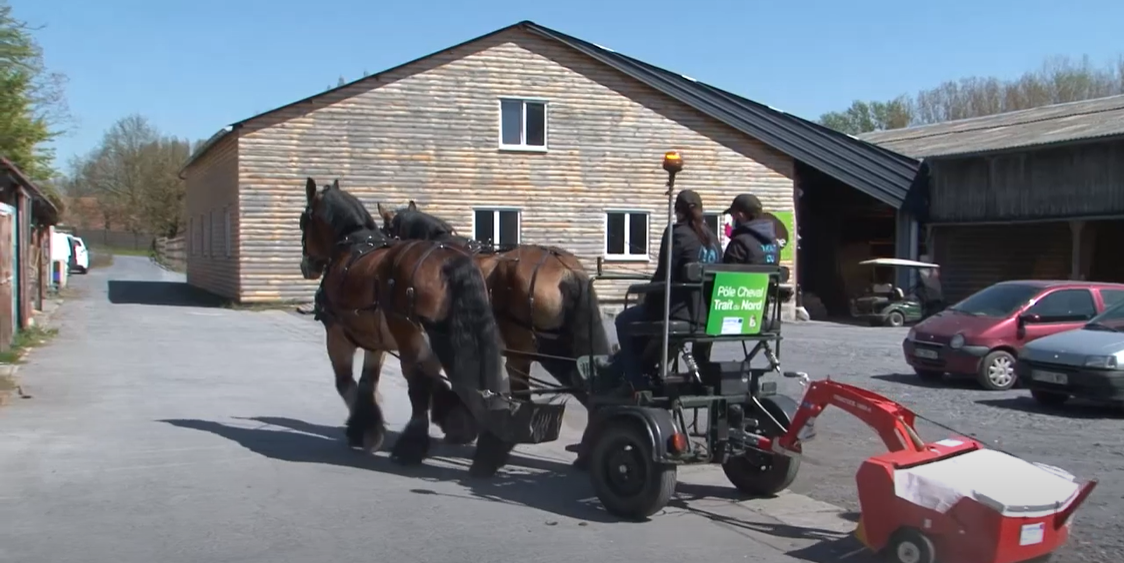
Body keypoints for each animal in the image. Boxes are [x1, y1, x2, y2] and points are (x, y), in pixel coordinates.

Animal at [298, 178, 514, 474]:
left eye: (302, 222)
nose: (305, 266)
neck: (351, 248)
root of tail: (450, 262)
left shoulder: (337, 335)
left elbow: (345, 383)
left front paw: (366, 429)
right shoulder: (375, 342)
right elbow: (368, 382)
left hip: (411, 334)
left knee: (419, 385)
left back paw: (411, 447)